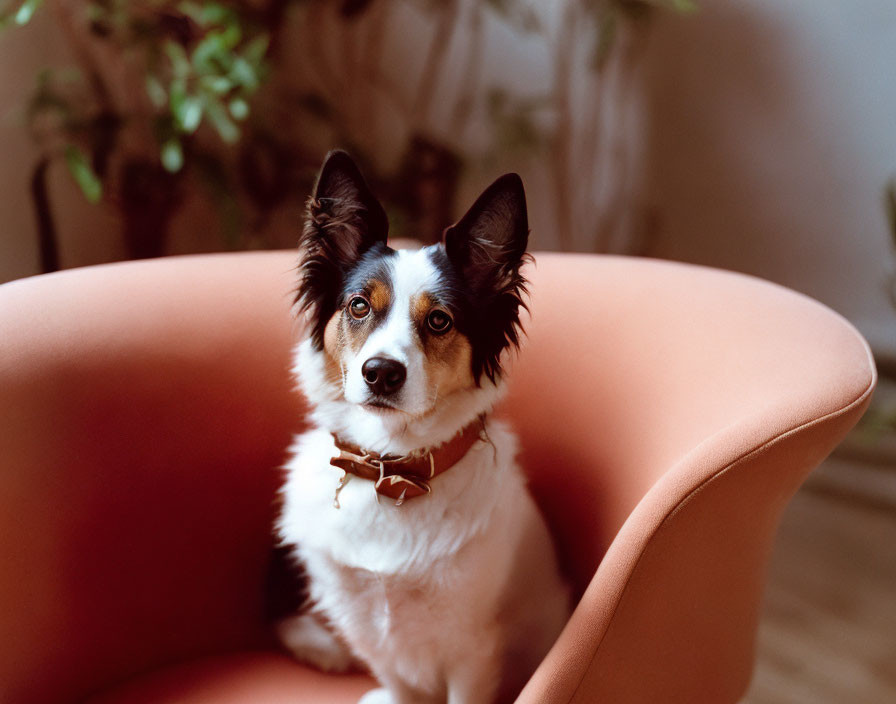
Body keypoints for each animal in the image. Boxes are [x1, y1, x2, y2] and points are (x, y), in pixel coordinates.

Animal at [274, 150, 568, 704]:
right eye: (358, 305)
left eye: (439, 321)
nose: (381, 373)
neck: (391, 469)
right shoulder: (367, 627)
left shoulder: (474, 650)